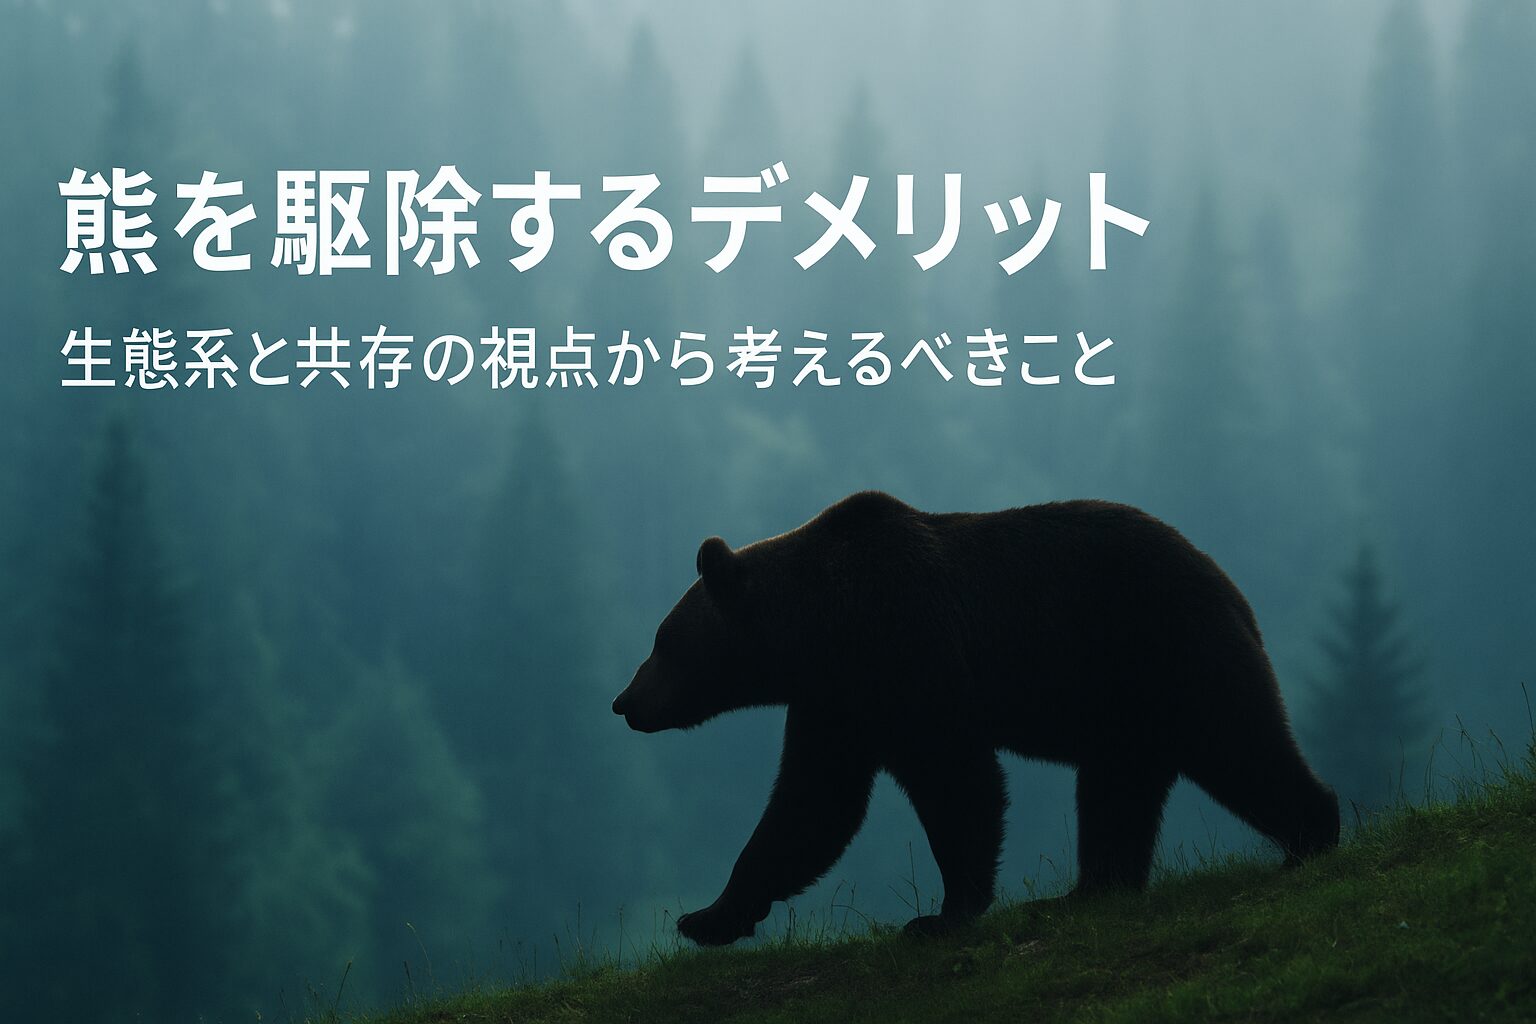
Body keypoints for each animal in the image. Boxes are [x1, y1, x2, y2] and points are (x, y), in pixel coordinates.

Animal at [611, 491, 1339, 946]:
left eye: (662, 642)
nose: (623, 702)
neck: (819, 626)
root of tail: (1226, 579)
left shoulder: (909, 653)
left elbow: (956, 782)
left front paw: (941, 915)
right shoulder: (838, 700)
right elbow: (810, 805)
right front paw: (709, 917)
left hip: (1167, 649)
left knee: (1238, 742)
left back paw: (1311, 836)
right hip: (1123, 708)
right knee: (1117, 791)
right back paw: (1086, 892)